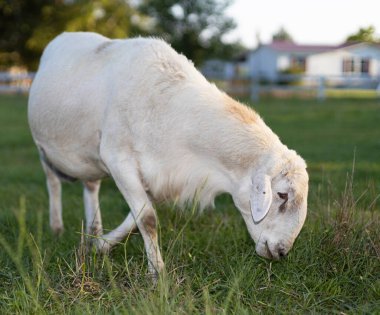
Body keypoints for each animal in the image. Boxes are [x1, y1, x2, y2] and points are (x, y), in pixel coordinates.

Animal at [29, 32, 308, 278]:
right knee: (53, 183)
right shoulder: (119, 160)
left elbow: (136, 218)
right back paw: (56, 226)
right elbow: (148, 218)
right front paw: (157, 273)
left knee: (91, 187)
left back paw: (93, 230)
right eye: (282, 195)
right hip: (44, 150)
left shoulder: (163, 174)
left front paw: (102, 245)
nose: (282, 252)